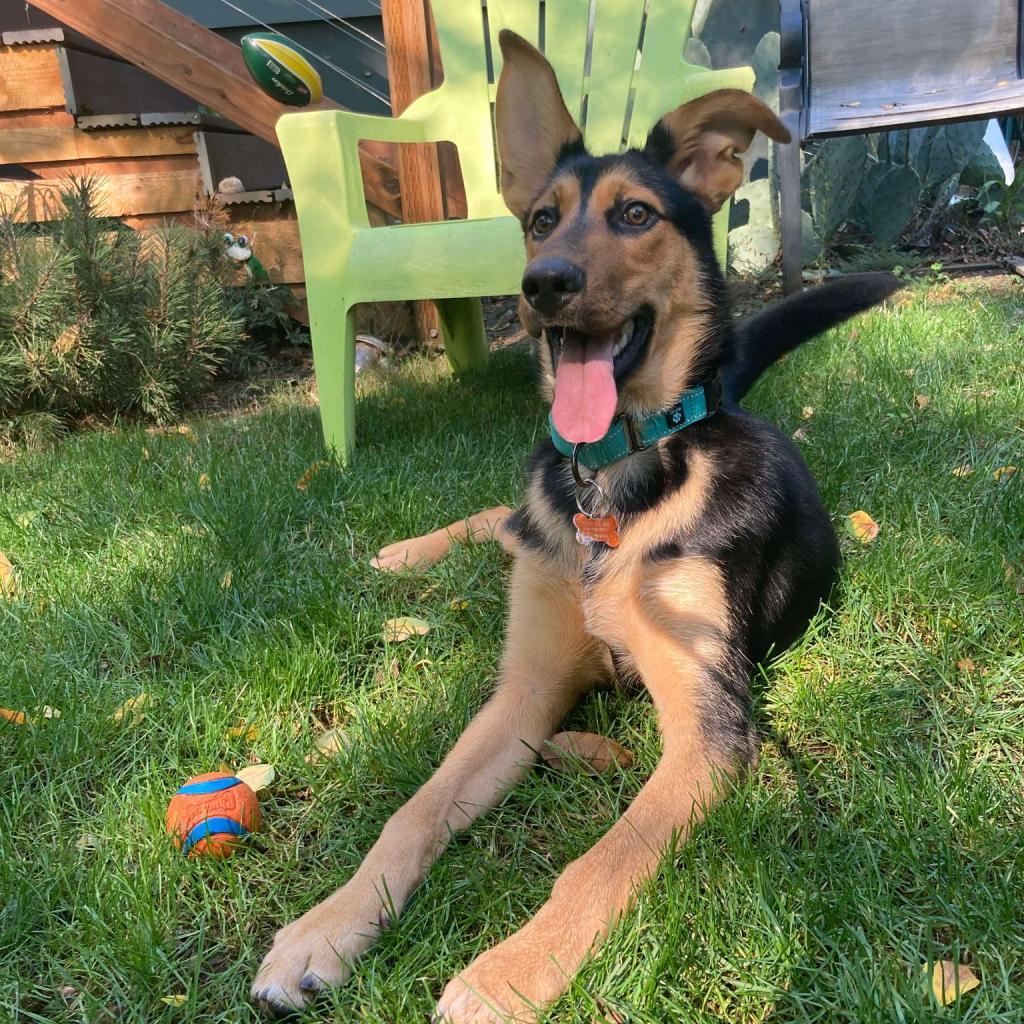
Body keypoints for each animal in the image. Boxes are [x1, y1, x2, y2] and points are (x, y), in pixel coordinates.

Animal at [251, 28, 901, 1019]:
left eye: (636, 215)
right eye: (539, 219)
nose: (543, 284)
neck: (614, 489)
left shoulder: (709, 729)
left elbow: (603, 858)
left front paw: (507, 974)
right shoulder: (523, 691)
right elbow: (414, 810)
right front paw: (324, 927)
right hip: (528, 525)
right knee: (505, 514)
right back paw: (407, 552)